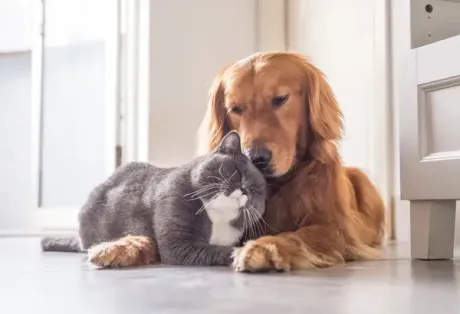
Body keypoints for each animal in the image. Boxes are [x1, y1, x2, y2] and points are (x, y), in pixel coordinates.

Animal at [44, 131, 266, 266]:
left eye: (255, 190)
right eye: (236, 171)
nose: (244, 190)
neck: (217, 218)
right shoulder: (177, 241)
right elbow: (219, 250)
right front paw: (243, 253)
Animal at [197, 52, 384, 272]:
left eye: (280, 99)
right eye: (235, 108)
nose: (255, 157)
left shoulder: (336, 228)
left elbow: (299, 235)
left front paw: (264, 247)